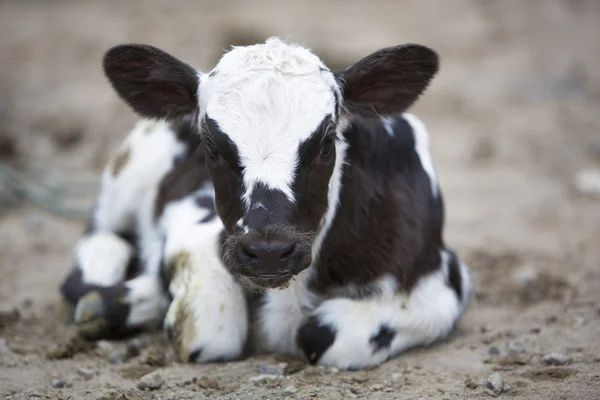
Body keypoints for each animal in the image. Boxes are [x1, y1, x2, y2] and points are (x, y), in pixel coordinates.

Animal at [61, 36, 474, 368]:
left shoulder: (443, 283)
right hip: (128, 170)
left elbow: (319, 335)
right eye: (211, 147)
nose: (269, 251)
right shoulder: (197, 227)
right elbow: (210, 333)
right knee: (95, 248)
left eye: (327, 143)